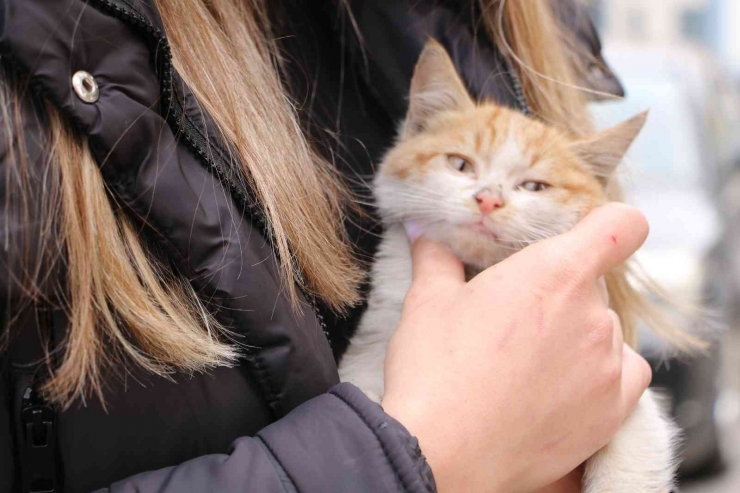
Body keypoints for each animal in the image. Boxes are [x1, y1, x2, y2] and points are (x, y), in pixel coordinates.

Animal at [338, 42, 680, 492]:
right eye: (460, 164)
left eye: (534, 186)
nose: (488, 199)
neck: (476, 272)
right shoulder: (365, 357)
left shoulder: (634, 397)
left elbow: (633, 456)